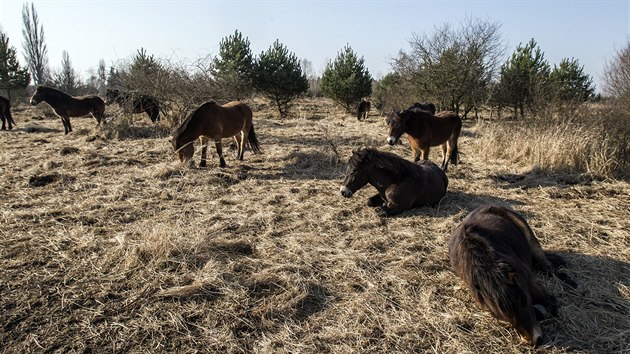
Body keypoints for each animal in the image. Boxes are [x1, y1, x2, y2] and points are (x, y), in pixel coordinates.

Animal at [446, 205, 576, 346]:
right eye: (500, 314)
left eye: (525, 301)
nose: (535, 340)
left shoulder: (527, 279)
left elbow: (550, 304)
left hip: (531, 240)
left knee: (547, 266)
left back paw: (568, 281)